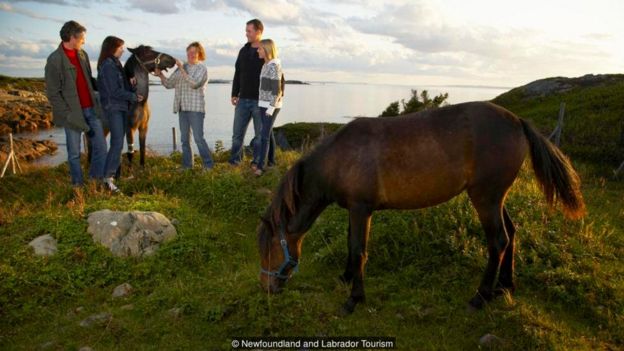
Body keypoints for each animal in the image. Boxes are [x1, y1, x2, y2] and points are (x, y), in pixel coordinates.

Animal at [258, 100, 584, 314]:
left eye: (270, 247)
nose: (268, 289)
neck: (339, 158)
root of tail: (517, 121)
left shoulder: (361, 208)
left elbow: (358, 249)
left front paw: (354, 298)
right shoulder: (354, 209)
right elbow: (352, 245)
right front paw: (346, 277)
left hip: (486, 198)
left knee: (498, 241)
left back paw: (480, 296)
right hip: (495, 198)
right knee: (512, 233)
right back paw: (504, 287)